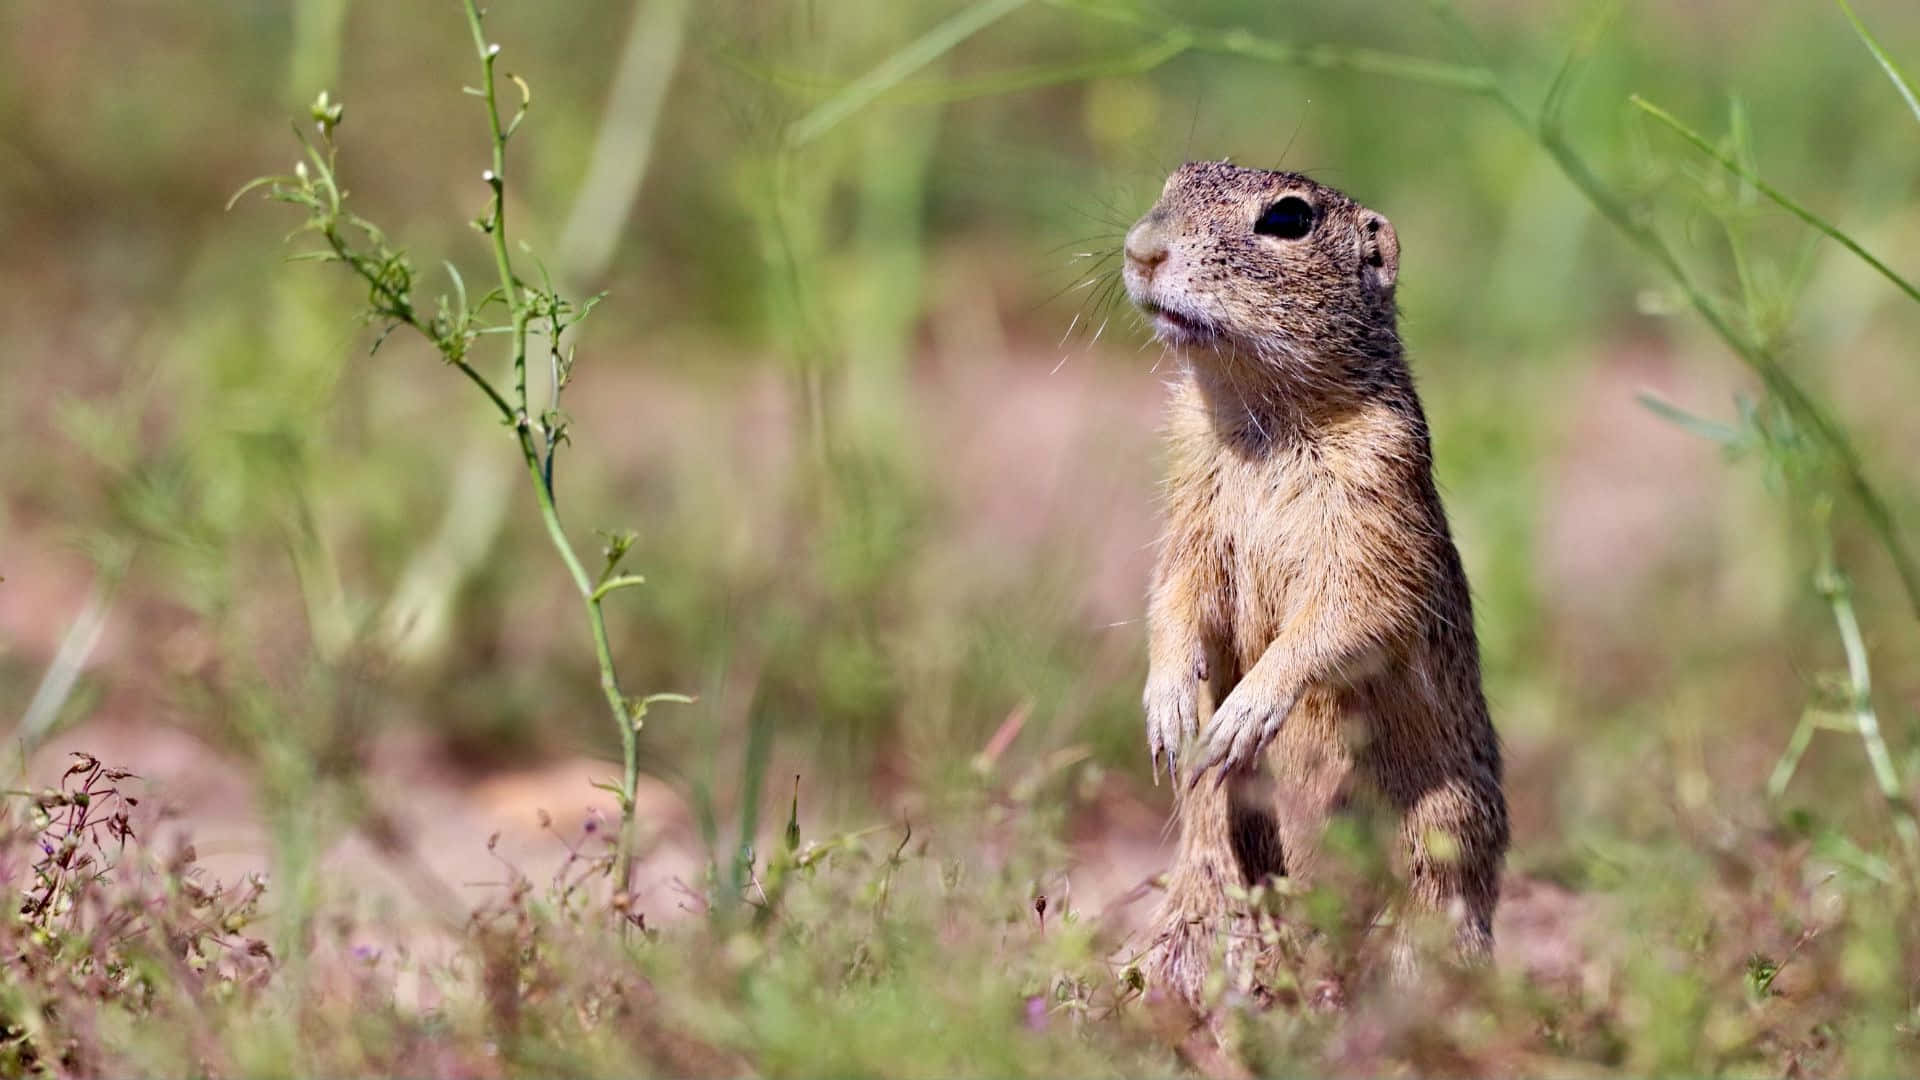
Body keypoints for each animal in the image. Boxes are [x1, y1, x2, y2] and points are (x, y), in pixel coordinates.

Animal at [1121, 164, 1512, 1006]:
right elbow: (1173, 592)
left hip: (1446, 833)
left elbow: (1351, 613)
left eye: (1288, 219)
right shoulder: (1189, 503)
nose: (1140, 250)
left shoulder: (1379, 502)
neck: (1257, 413)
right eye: (1172, 179)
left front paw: (1245, 713)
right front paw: (1170, 710)